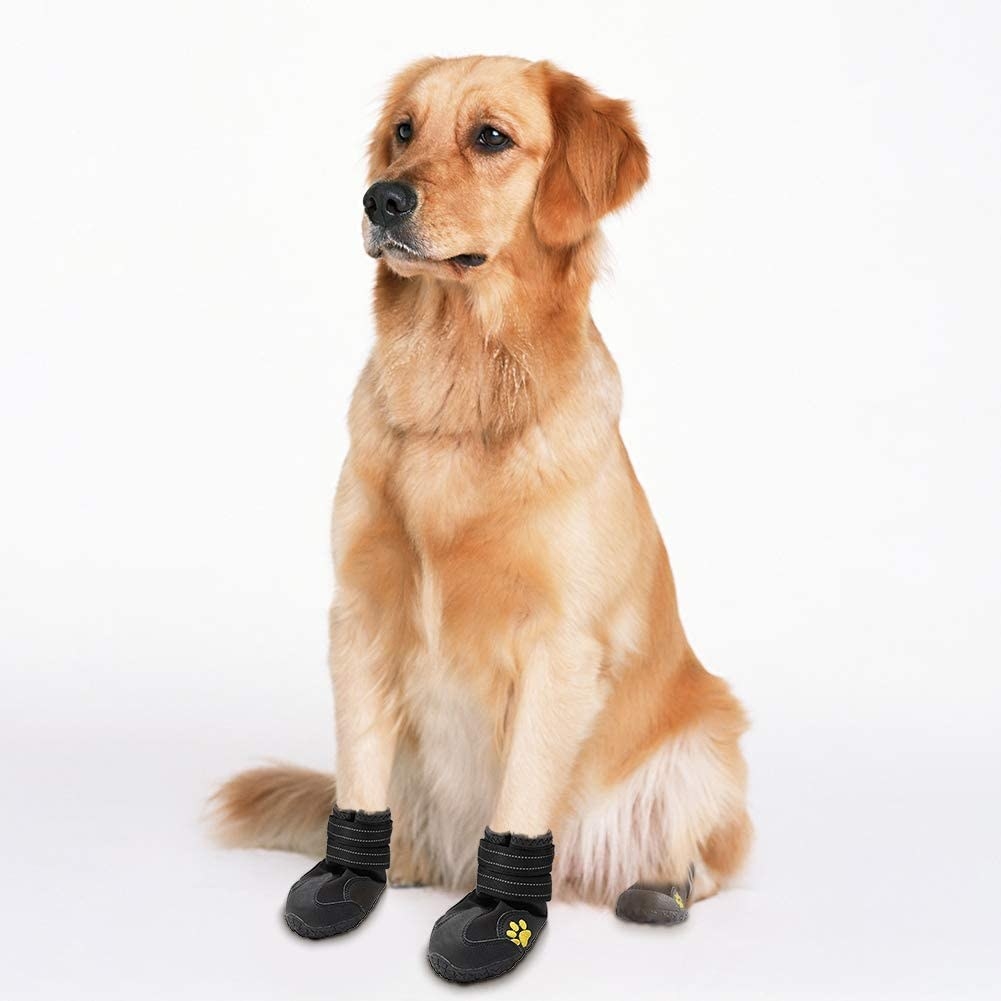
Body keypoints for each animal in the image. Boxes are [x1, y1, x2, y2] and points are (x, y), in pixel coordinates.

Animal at [213, 52, 752, 976]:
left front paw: (499, 916)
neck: (457, 387)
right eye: (402, 129)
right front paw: (345, 881)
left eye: (491, 137)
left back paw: (655, 887)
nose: (379, 199)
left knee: (704, 855)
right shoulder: (361, 610)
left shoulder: (558, 645)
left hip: (710, 737)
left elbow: (525, 791)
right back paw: (402, 864)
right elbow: (359, 766)